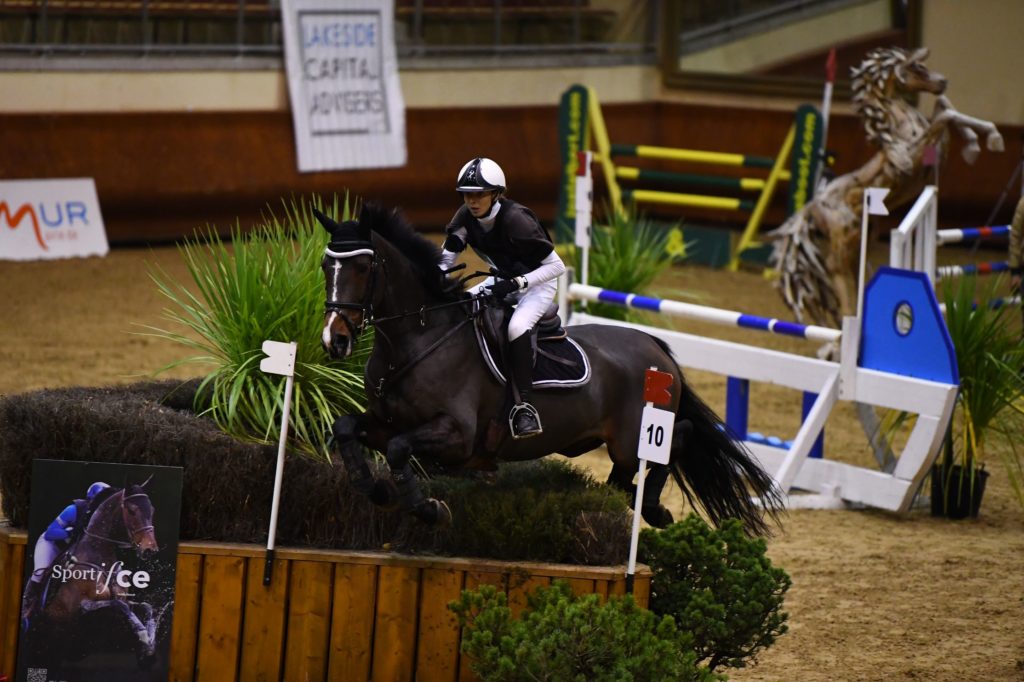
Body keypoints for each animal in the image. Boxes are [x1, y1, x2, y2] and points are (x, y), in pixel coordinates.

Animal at [30, 481, 163, 667]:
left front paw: (149, 646)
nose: (150, 550)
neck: (101, 559)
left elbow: (145, 606)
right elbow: (119, 605)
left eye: (152, 509)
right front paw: (143, 635)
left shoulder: (124, 598)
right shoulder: (82, 605)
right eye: (131, 510)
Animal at [315, 204, 778, 532]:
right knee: (629, 471)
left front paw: (429, 509)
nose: (334, 340)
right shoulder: (384, 421)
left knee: (676, 436)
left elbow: (398, 449)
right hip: (618, 440)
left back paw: (652, 508)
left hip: (634, 434)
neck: (418, 340)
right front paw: (374, 488)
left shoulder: (456, 436)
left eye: (363, 266)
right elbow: (346, 428)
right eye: (325, 266)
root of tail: (653, 345)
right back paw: (619, 500)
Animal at [770, 46, 999, 333]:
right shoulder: (915, 156)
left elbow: (946, 108)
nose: (943, 81)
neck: (901, 129)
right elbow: (946, 116)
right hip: (842, 242)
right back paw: (845, 327)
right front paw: (987, 141)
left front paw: (980, 142)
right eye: (916, 67)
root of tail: (811, 207)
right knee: (836, 273)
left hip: (862, 240)